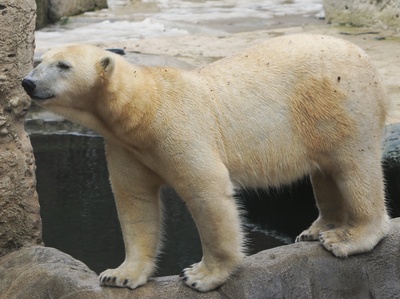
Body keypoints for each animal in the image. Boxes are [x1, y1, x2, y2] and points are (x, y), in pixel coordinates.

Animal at [22, 33, 390, 292]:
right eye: (41, 60)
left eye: (63, 66)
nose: (27, 81)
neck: (143, 107)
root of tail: (364, 56)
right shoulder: (125, 146)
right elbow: (134, 201)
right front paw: (120, 275)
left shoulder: (179, 128)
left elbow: (207, 191)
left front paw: (201, 275)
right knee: (325, 169)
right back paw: (317, 229)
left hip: (340, 101)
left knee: (354, 167)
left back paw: (348, 238)